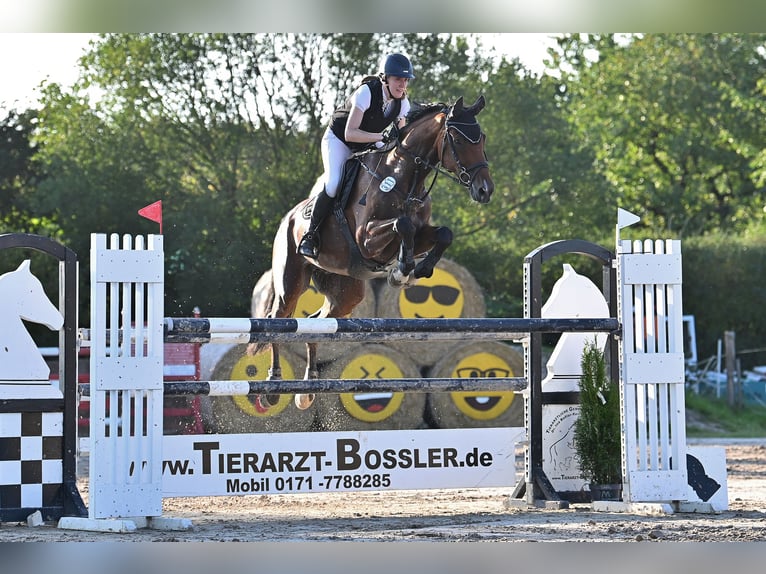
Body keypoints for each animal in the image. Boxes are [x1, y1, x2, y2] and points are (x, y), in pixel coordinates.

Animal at [249, 95, 496, 410]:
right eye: (458, 138)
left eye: (482, 138)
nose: (484, 190)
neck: (403, 176)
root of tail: (288, 219)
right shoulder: (366, 238)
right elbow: (402, 225)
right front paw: (401, 271)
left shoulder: (421, 233)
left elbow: (443, 233)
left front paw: (418, 269)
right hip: (289, 282)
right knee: (278, 319)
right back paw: (272, 386)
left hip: (347, 290)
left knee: (316, 322)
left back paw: (307, 390)